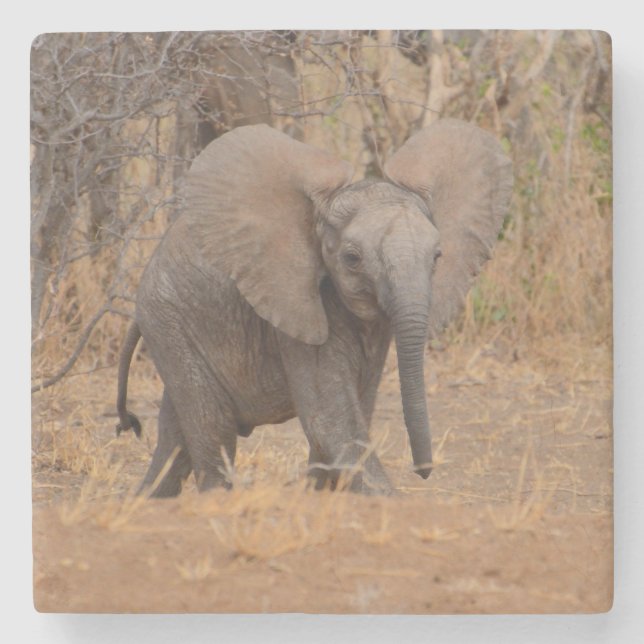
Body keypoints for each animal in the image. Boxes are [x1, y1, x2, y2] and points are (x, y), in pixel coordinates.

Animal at [116, 118, 513, 497]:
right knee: (213, 428)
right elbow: (331, 421)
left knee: (175, 440)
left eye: (438, 256)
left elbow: (357, 410)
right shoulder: (299, 309)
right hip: (169, 320)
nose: (424, 471)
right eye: (352, 259)